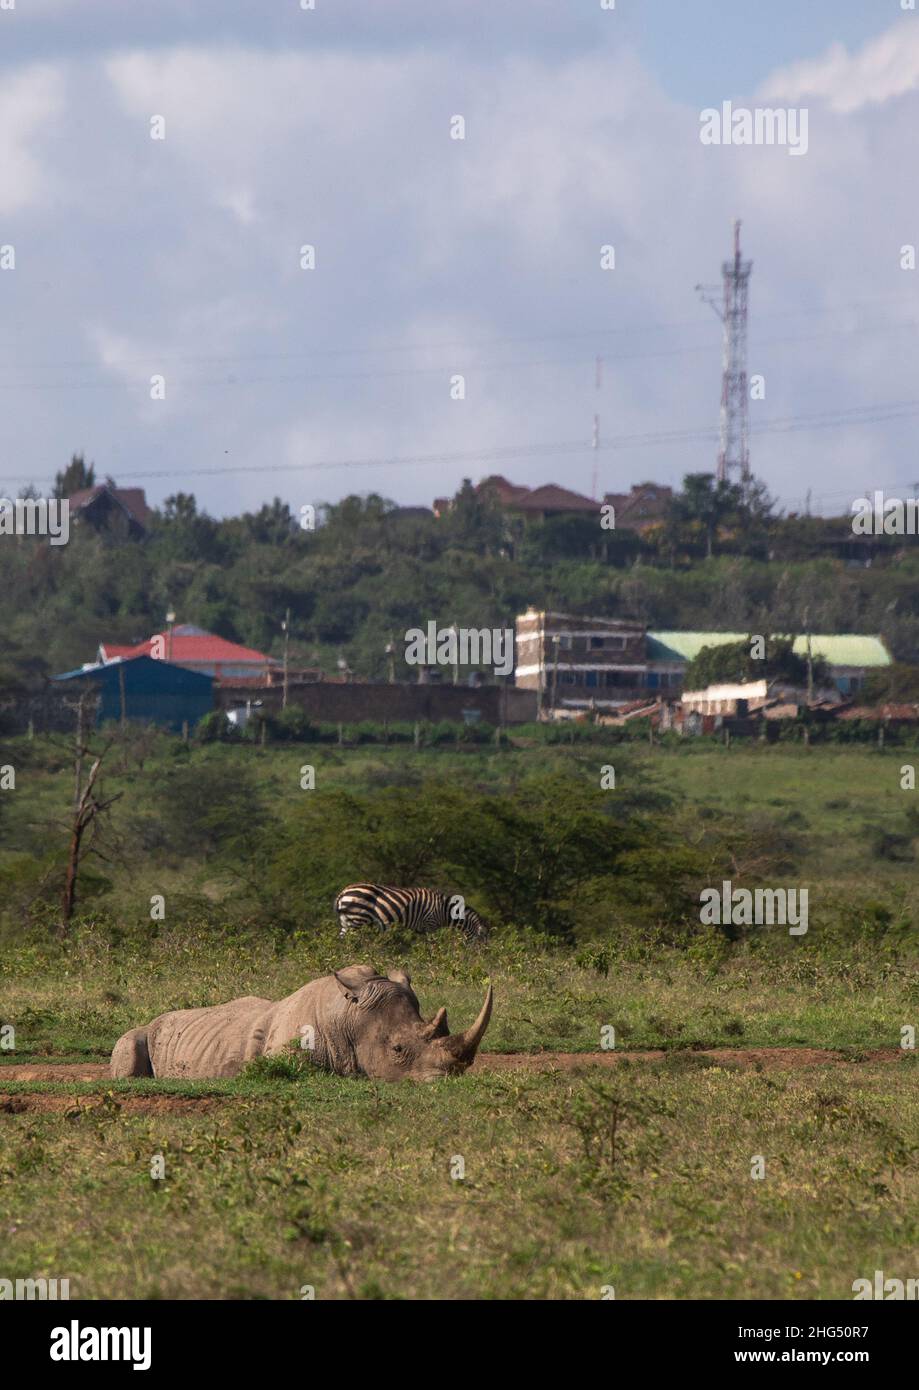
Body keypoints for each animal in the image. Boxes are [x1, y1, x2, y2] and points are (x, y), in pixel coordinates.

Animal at [335, 878, 486, 945]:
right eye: (482, 942)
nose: (480, 960)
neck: (444, 911)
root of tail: (343, 892)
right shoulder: (430, 924)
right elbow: (432, 945)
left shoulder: (420, 929)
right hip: (357, 919)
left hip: (346, 921)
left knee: (342, 940)